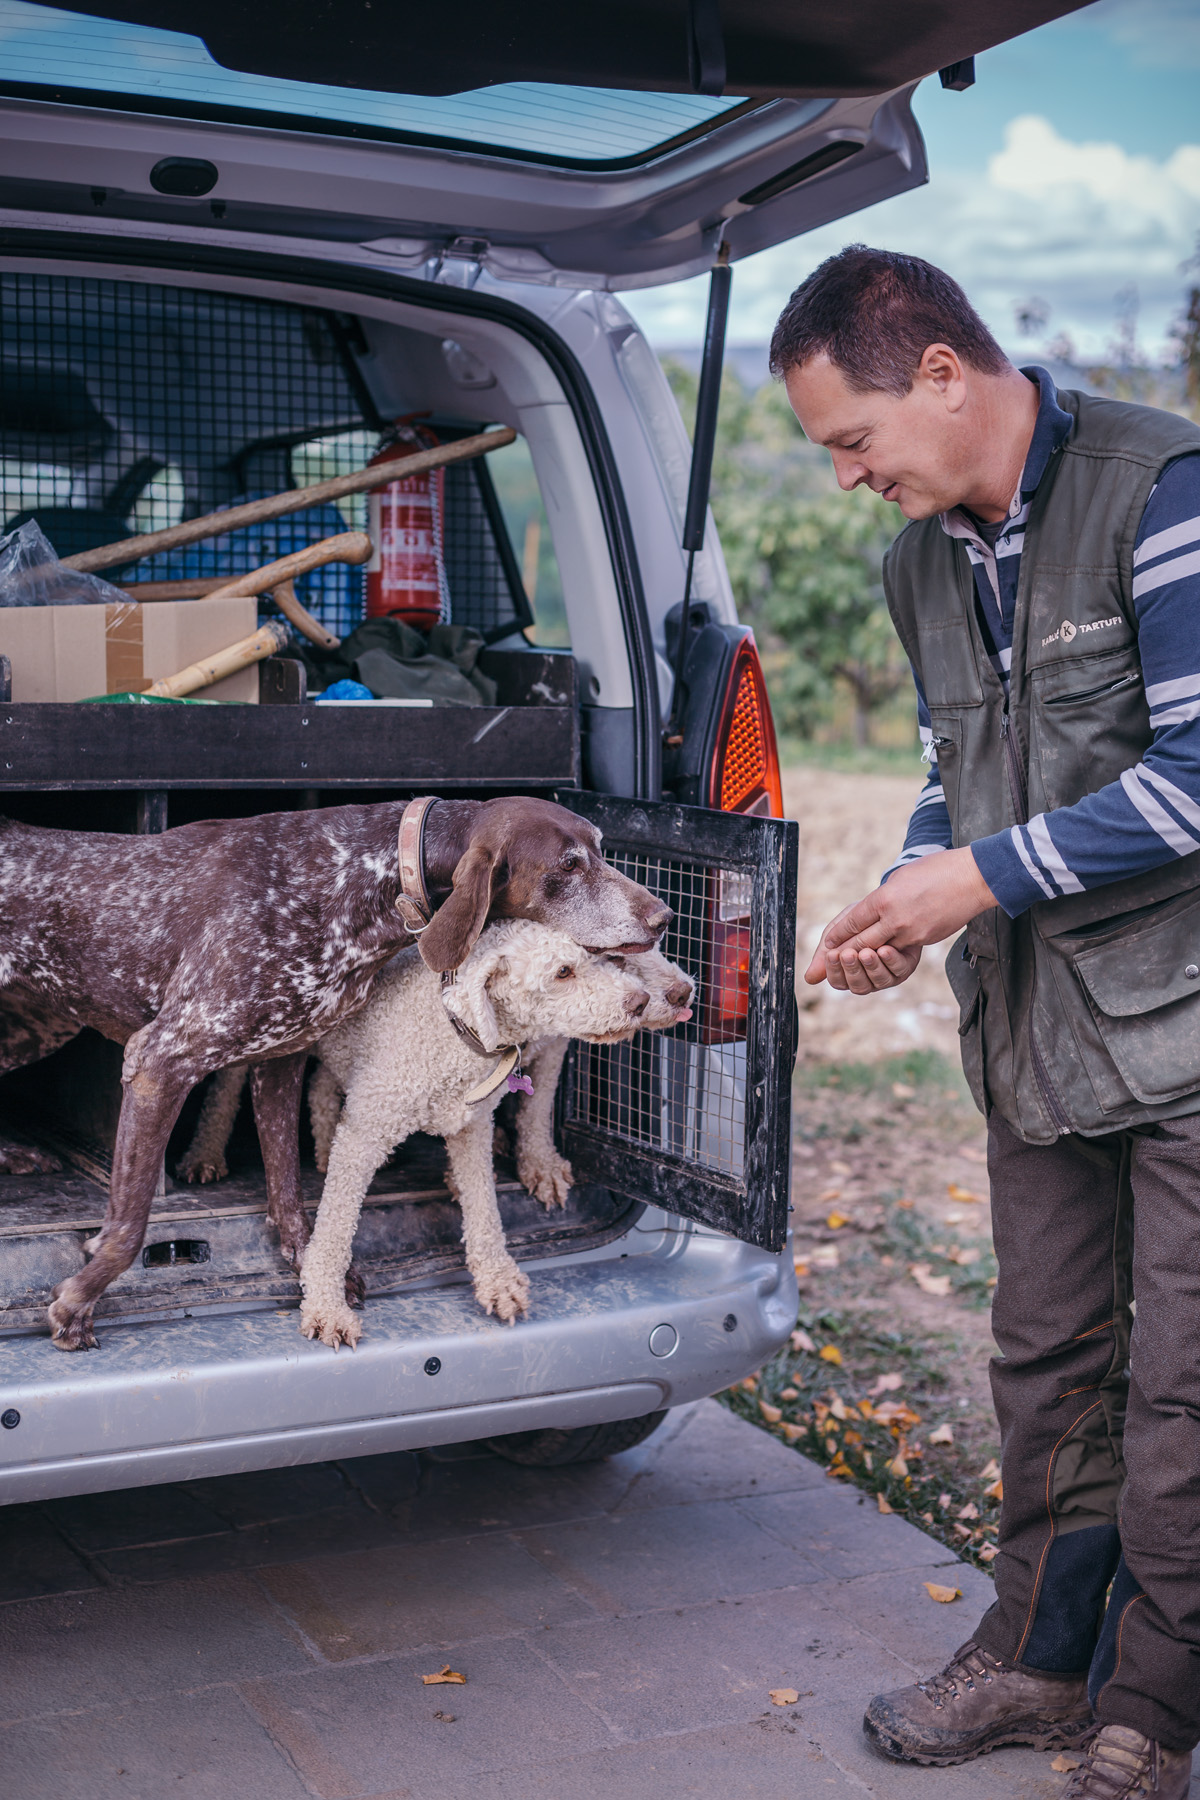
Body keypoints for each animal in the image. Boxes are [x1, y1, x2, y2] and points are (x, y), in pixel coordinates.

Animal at [0, 802, 665, 1353]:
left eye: (601, 849)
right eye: (569, 865)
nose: (664, 915)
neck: (357, 879)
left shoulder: (282, 1057)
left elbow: (289, 1187)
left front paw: (312, 1267)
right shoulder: (160, 1061)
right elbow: (129, 1227)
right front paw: (77, 1304)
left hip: (36, 1027)